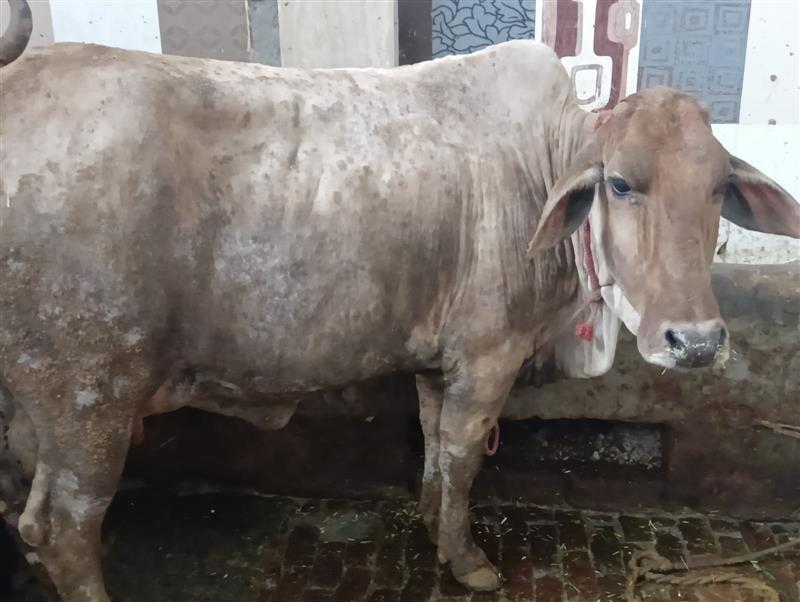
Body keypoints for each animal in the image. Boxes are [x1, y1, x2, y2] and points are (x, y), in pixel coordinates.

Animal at [2, 2, 799, 599]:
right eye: (622, 183)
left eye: (720, 188)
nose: (696, 341)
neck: (540, 163)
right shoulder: (487, 356)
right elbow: (463, 455)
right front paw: (467, 559)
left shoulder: (436, 361)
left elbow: (434, 446)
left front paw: (429, 522)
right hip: (90, 398)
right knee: (64, 527)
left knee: (32, 512)